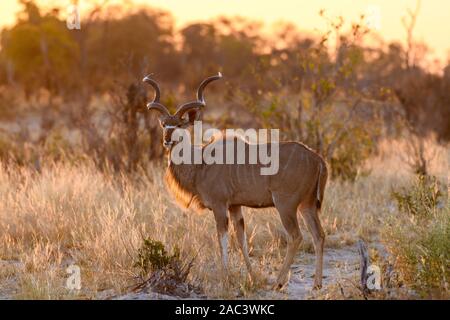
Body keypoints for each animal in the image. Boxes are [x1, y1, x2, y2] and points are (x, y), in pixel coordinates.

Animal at [143, 74, 326, 288]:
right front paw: (252, 276)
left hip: (286, 205)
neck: (200, 163)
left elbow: (222, 238)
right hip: (307, 205)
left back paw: (278, 283)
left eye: (180, 125)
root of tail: (317, 158)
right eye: (164, 124)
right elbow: (241, 239)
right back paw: (316, 284)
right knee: (319, 235)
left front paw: (225, 276)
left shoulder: (220, 205)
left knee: (296, 236)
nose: (167, 140)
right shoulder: (235, 206)